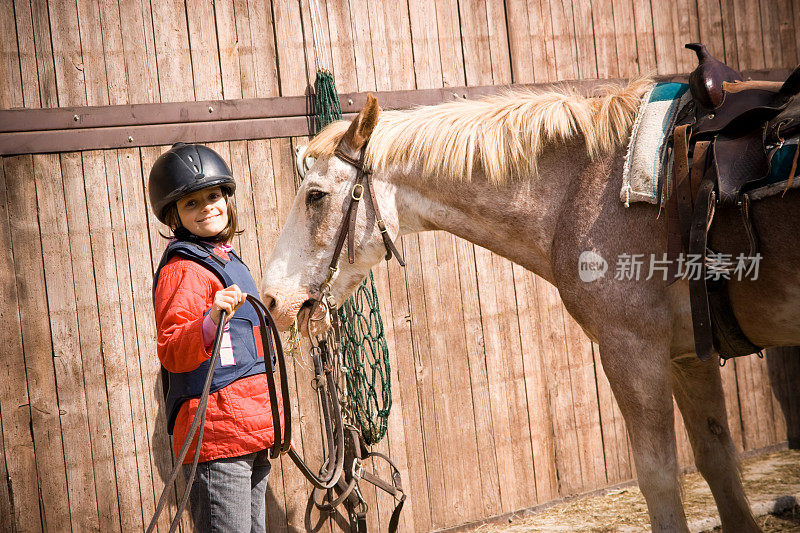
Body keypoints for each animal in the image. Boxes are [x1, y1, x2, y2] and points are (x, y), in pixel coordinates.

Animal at [262, 80, 800, 532]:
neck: (591, 189)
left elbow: (660, 479)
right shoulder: (689, 356)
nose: (272, 298)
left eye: (315, 196)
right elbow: (718, 464)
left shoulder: (632, 351)